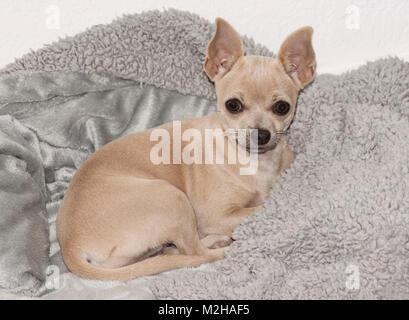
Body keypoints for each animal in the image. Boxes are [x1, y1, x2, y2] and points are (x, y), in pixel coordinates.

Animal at [55, 19, 314, 280]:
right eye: (233, 105)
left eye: (282, 107)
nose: (261, 134)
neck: (256, 162)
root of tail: (70, 245)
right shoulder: (219, 215)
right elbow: (258, 209)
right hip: (173, 199)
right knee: (196, 252)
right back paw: (220, 244)